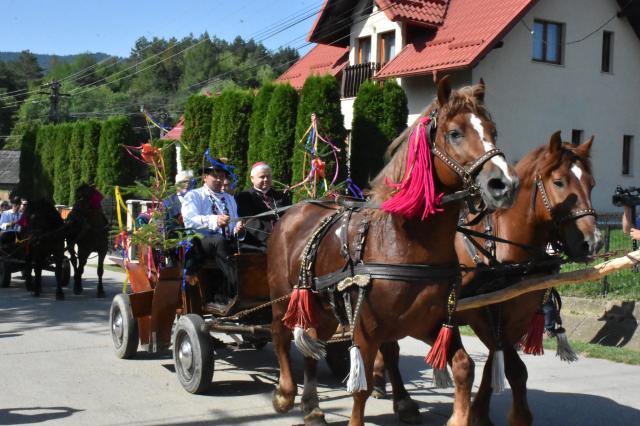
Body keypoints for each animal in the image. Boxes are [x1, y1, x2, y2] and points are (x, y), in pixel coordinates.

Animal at [264, 77, 520, 426]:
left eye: (493, 130)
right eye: (455, 133)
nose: (504, 184)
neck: (407, 243)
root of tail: (294, 210)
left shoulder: (430, 323)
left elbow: (464, 367)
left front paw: (456, 416)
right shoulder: (366, 329)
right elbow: (361, 387)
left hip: (323, 308)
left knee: (312, 348)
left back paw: (313, 406)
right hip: (282, 297)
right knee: (280, 334)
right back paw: (286, 393)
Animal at [370, 131, 600, 424]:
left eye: (591, 184)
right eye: (559, 182)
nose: (592, 242)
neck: (502, 247)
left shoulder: (513, 317)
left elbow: (495, 362)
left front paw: (479, 412)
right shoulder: (480, 315)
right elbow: (514, 368)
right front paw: (510, 415)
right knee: (390, 348)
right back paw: (401, 399)